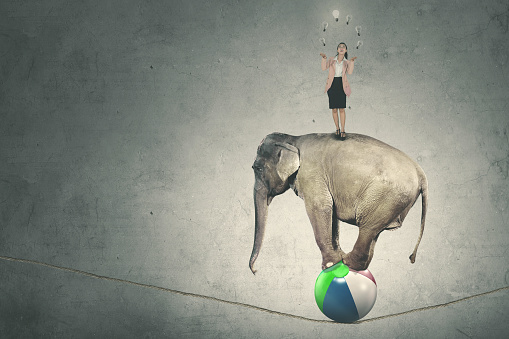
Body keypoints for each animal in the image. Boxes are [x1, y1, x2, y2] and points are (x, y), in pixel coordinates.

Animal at [248, 132, 426, 274]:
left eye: (257, 168)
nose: (255, 270)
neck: (293, 139)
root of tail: (421, 174)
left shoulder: (310, 174)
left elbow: (320, 207)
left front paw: (330, 265)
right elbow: (331, 212)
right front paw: (336, 257)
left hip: (384, 197)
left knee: (367, 228)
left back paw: (347, 262)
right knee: (374, 231)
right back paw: (350, 261)